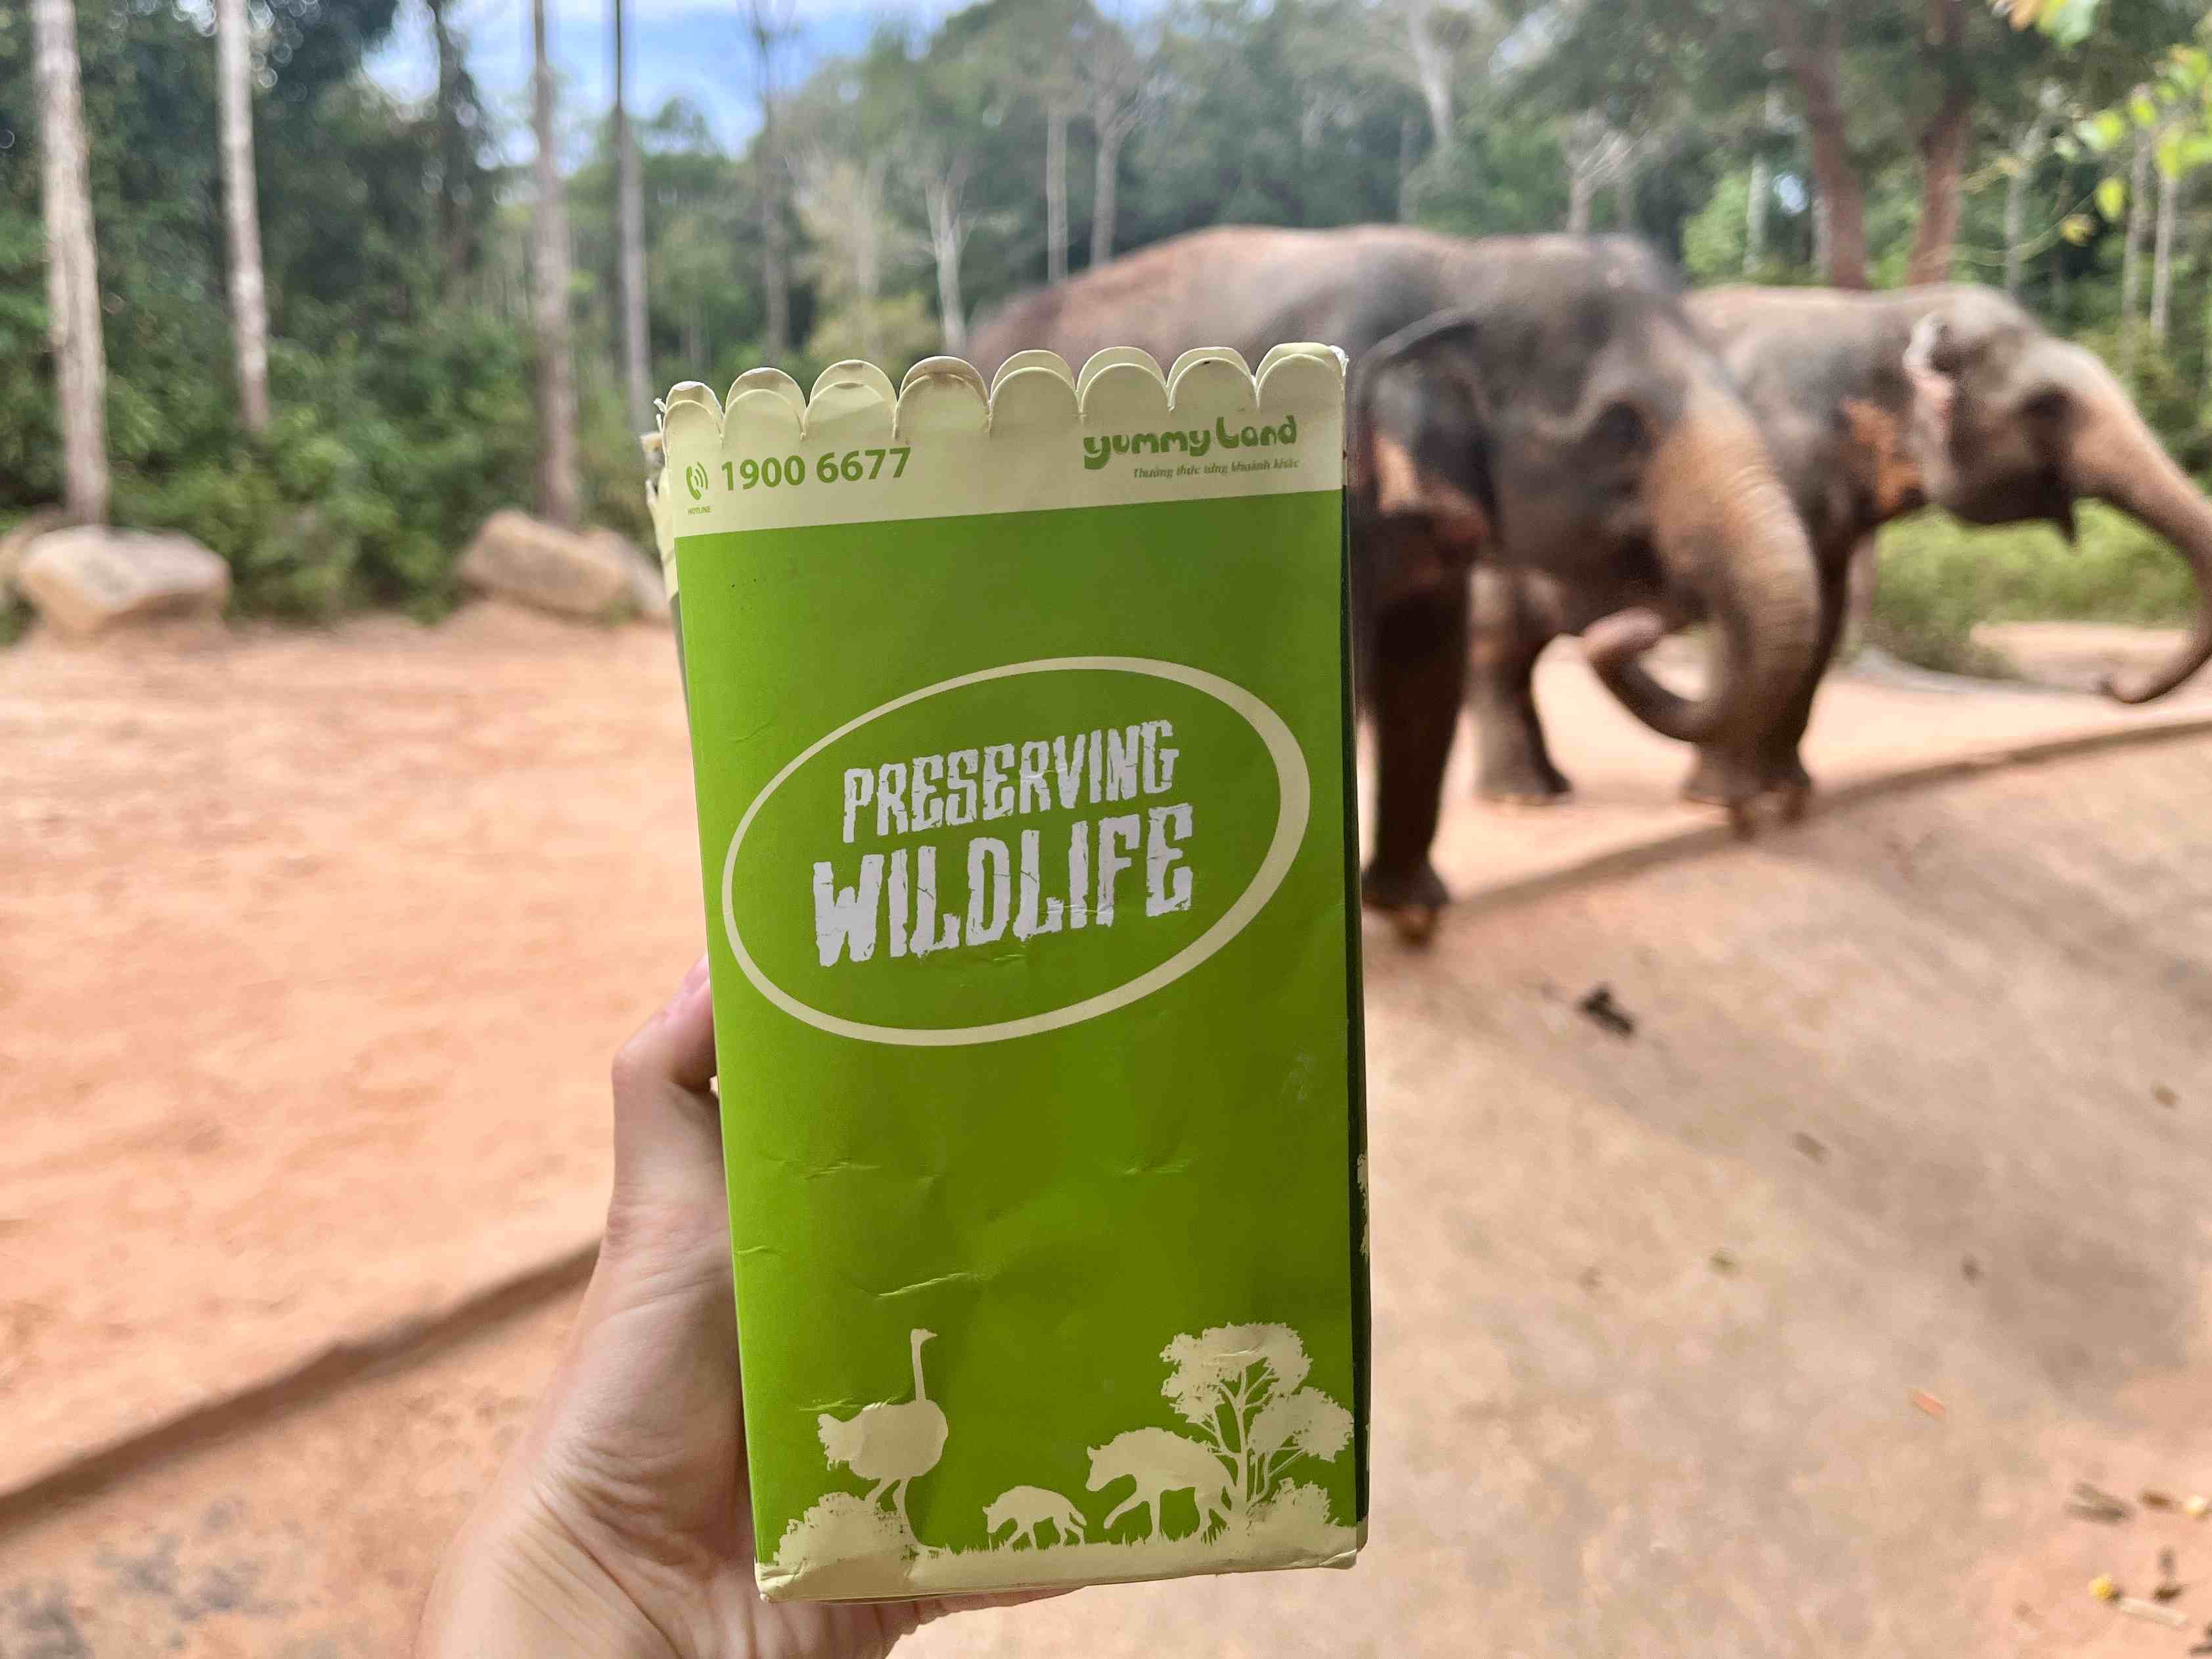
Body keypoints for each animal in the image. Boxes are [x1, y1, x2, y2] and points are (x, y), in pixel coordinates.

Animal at [1460, 285, 2212, 818]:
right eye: (2048, 405)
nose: (2108, 684)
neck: (1885, 313)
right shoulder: (1766, 458)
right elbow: (1749, 616)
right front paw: (1721, 802)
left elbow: (1821, 619)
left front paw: (1790, 790)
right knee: (1497, 649)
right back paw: (1524, 797)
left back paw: (1548, 787)